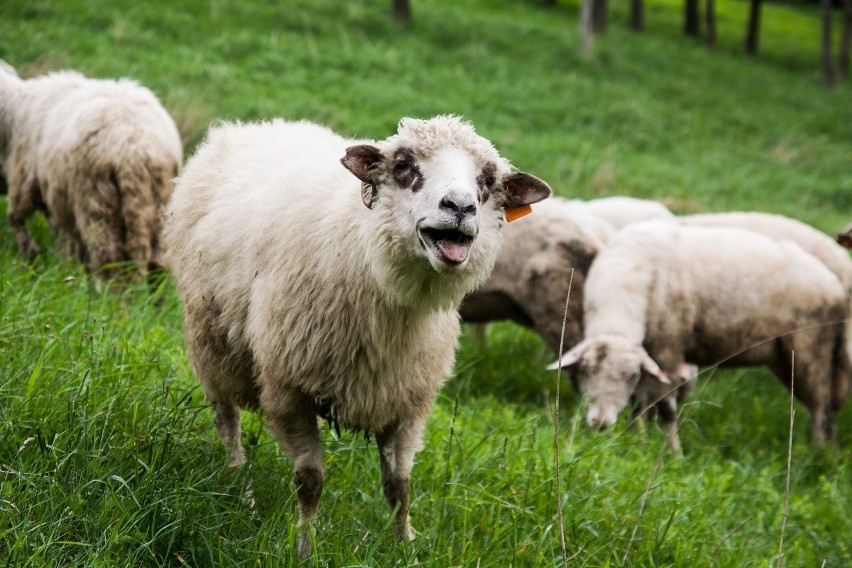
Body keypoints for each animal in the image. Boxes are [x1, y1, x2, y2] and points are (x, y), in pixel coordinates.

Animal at [0, 60, 181, 278]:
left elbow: (16, 219)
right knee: (159, 259)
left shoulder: (24, 181)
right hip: (158, 203)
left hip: (96, 200)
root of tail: (133, 148)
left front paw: (31, 254)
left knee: (108, 256)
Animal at [165, 114, 552, 556]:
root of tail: (252, 125)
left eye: (487, 181)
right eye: (403, 166)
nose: (460, 207)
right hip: (210, 345)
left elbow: (399, 486)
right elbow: (310, 482)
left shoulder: (407, 401)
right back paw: (237, 484)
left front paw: (406, 547)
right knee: (226, 422)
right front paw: (306, 549)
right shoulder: (288, 390)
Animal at [548, 220, 848, 450]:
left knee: (821, 411)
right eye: (585, 371)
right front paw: (637, 443)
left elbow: (665, 408)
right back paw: (827, 456)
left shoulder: (668, 349)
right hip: (785, 359)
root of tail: (835, 286)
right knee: (823, 410)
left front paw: (673, 454)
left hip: (812, 348)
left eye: (629, 376)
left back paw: (818, 458)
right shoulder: (649, 353)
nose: (599, 424)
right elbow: (639, 405)